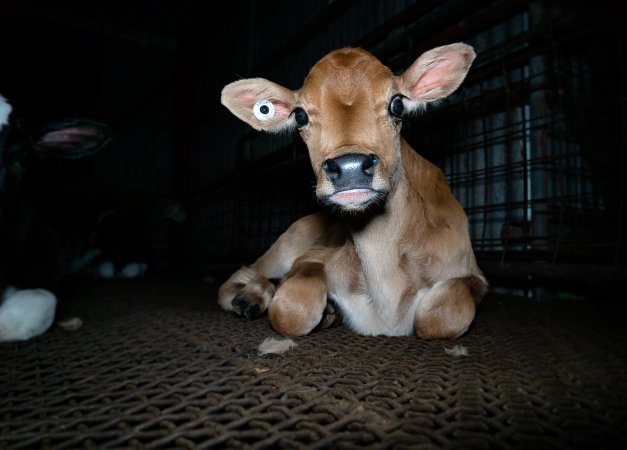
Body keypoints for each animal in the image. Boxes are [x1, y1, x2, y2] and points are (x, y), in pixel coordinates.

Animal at [218, 44, 488, 338]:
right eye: (300, 115)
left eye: (398, 104)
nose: (350, 168)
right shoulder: (311, 258)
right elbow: (291, 311)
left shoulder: (471, 274)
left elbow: (440, 317)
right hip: (285, 245)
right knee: (239, 278)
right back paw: (251, 297)